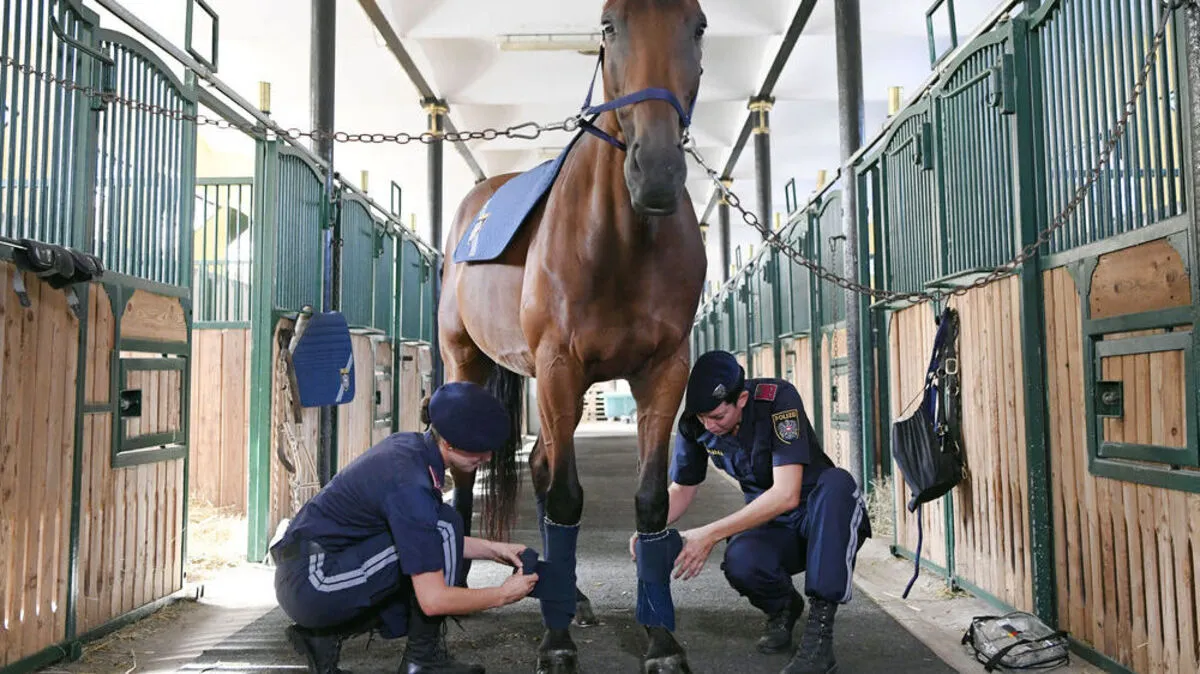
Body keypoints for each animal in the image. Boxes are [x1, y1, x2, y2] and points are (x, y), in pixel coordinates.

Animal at [437, 1, 708, 671]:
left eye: (698, 26)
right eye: (609, 25)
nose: (657, 173)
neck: (621, 242)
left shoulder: (664, 371)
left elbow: (650, 501)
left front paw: (660, 639)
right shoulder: (560, 366)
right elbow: (565, 498)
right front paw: (555, 642)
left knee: (537, 464)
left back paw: (569, 594)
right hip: (467, 361)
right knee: (466, 473)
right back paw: (457, 590)